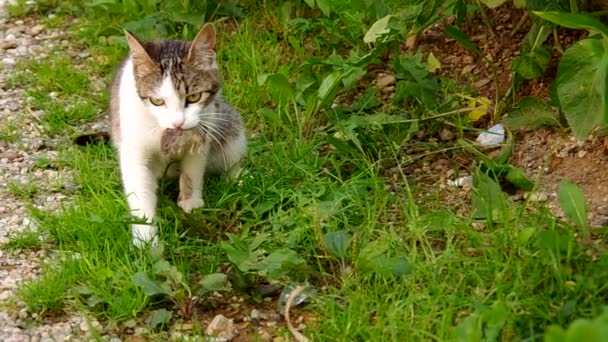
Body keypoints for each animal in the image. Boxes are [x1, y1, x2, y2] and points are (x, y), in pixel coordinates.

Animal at [109, 24, 245, 248]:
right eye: (156, 101)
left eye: (194, 97)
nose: (178, 123)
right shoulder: (132, 146)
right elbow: (138, 188)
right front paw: (146, 237)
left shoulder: (205, 129)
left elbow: (193, 168)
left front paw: (191, 201)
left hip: (228, 122)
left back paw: (236, 176)